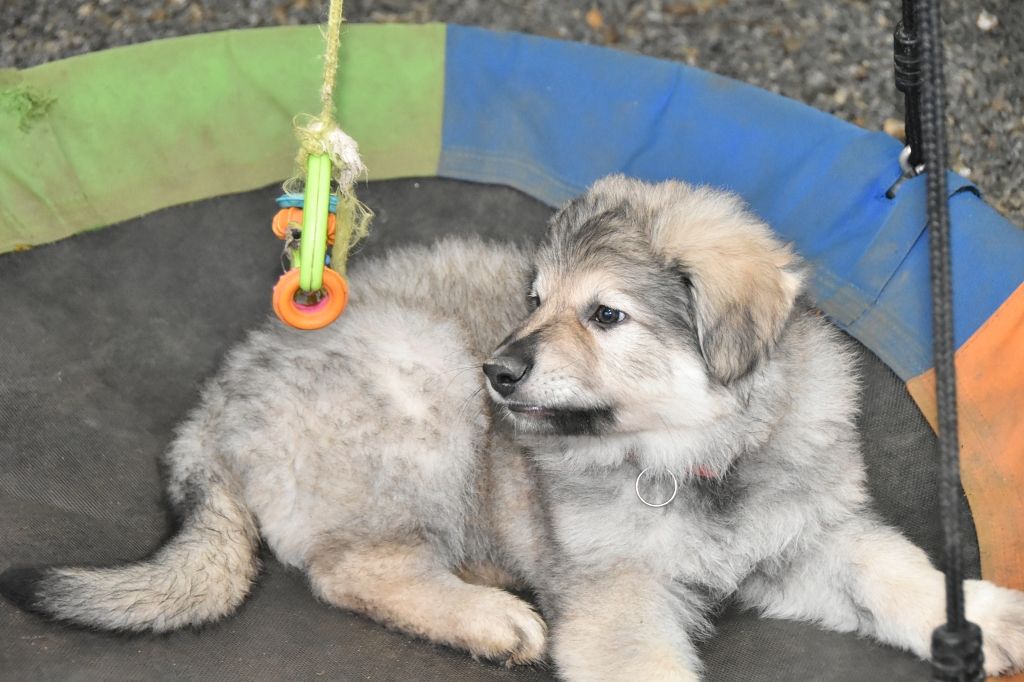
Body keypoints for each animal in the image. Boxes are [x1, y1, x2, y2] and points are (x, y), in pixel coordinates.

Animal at [3, 176, 1023, 680]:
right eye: (535, 301)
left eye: (605, 316)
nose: (499, 371)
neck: (695, 458)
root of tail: (219, 405)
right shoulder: (618, 594)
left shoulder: (805, 536)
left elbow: (891, 568)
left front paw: (981, 618)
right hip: (421, 380)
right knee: (353, 569)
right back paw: (490, 618)